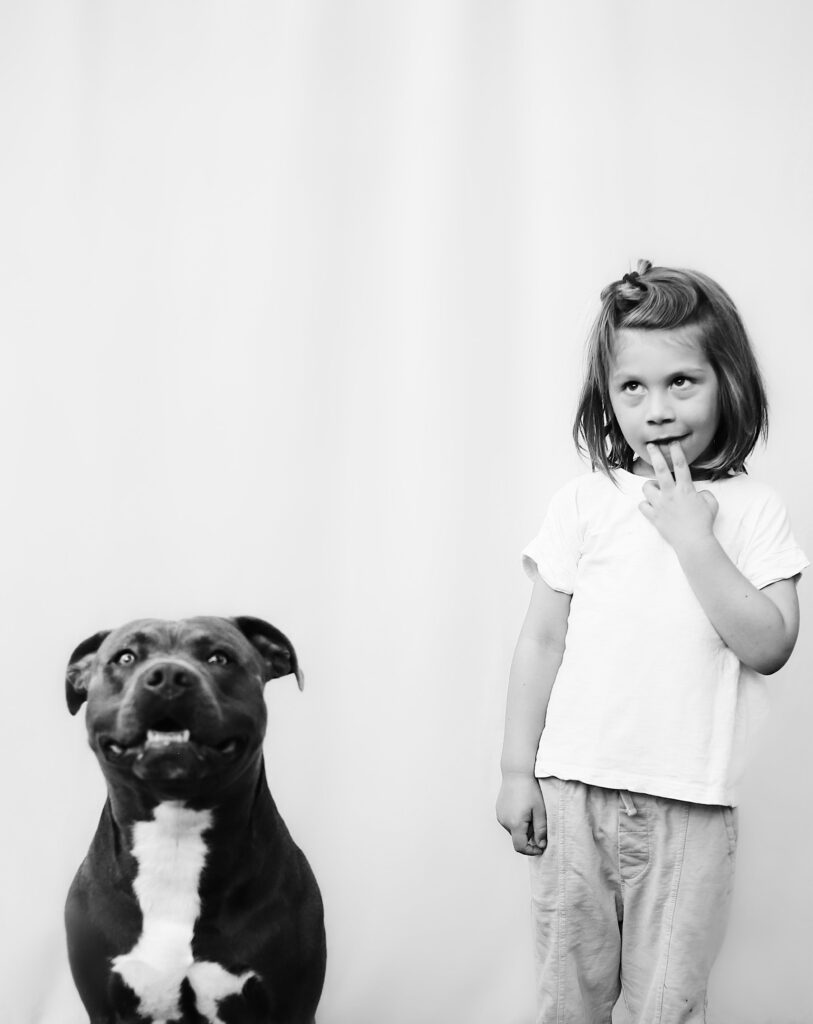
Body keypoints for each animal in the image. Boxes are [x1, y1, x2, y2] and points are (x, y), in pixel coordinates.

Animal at [66, 614, 325, 1024]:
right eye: (125, 657)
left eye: (219, 658)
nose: (168, 676)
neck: (175, 838)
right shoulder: (103, 1007)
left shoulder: (293, 1006)